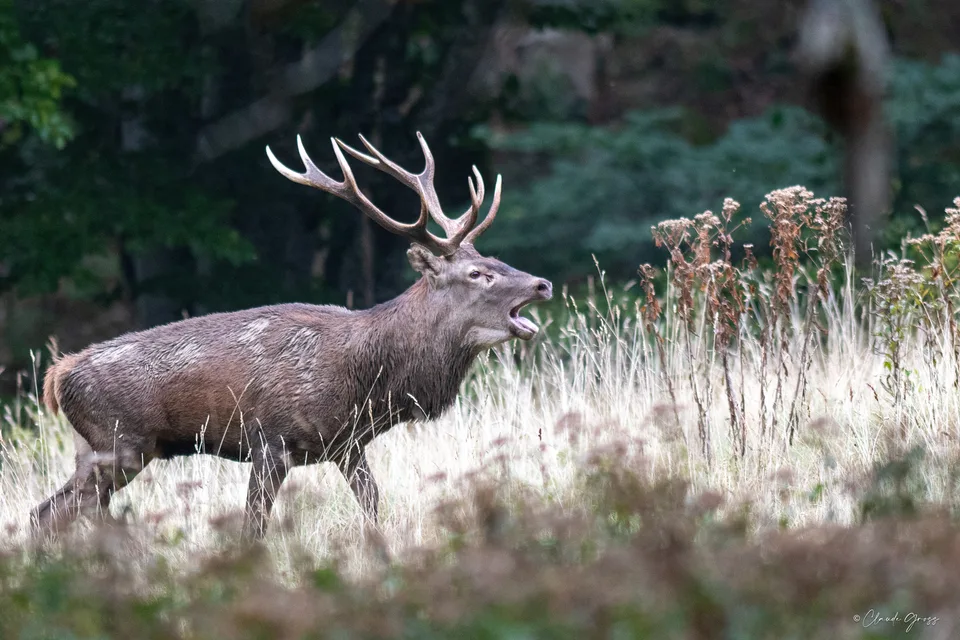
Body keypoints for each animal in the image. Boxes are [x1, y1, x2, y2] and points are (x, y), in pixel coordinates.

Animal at [32, 132, 552, 541]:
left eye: (494, 259)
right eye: (478, 273)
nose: (542, 284)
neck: (366, 382)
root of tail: (57, 377)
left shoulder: (346, 445)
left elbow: (373, 504)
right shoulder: (270, 441)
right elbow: (253, 526)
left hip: (97, 450)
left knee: (54, 512)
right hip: (119, 444)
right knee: (51, 513)